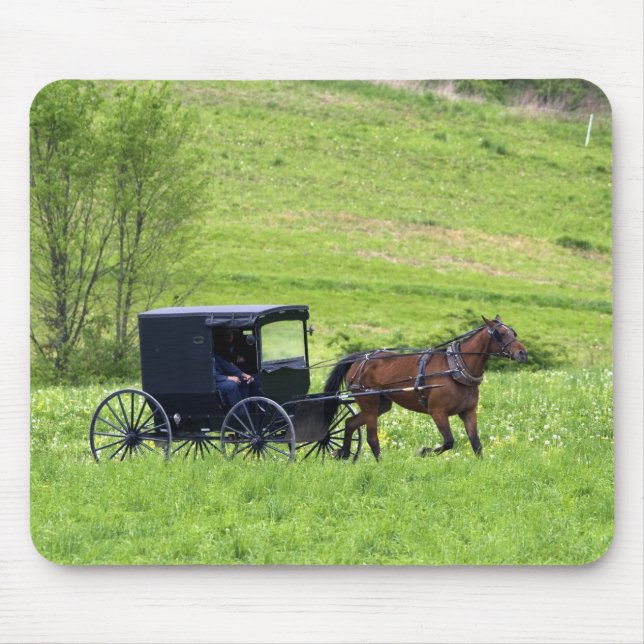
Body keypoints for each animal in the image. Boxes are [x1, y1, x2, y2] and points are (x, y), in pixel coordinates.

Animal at [323, 315, 528, 460]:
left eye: (514, 333)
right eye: (501, 334)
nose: (523, 354)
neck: (456, 368)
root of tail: (359, 359)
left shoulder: (468, 412)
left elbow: (476, 444)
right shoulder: (437, 412)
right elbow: (449, 441)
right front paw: (423, 451)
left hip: (382, 403)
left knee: (350, 423)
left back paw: (342, 453)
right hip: (368, 401)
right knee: (372, 438)